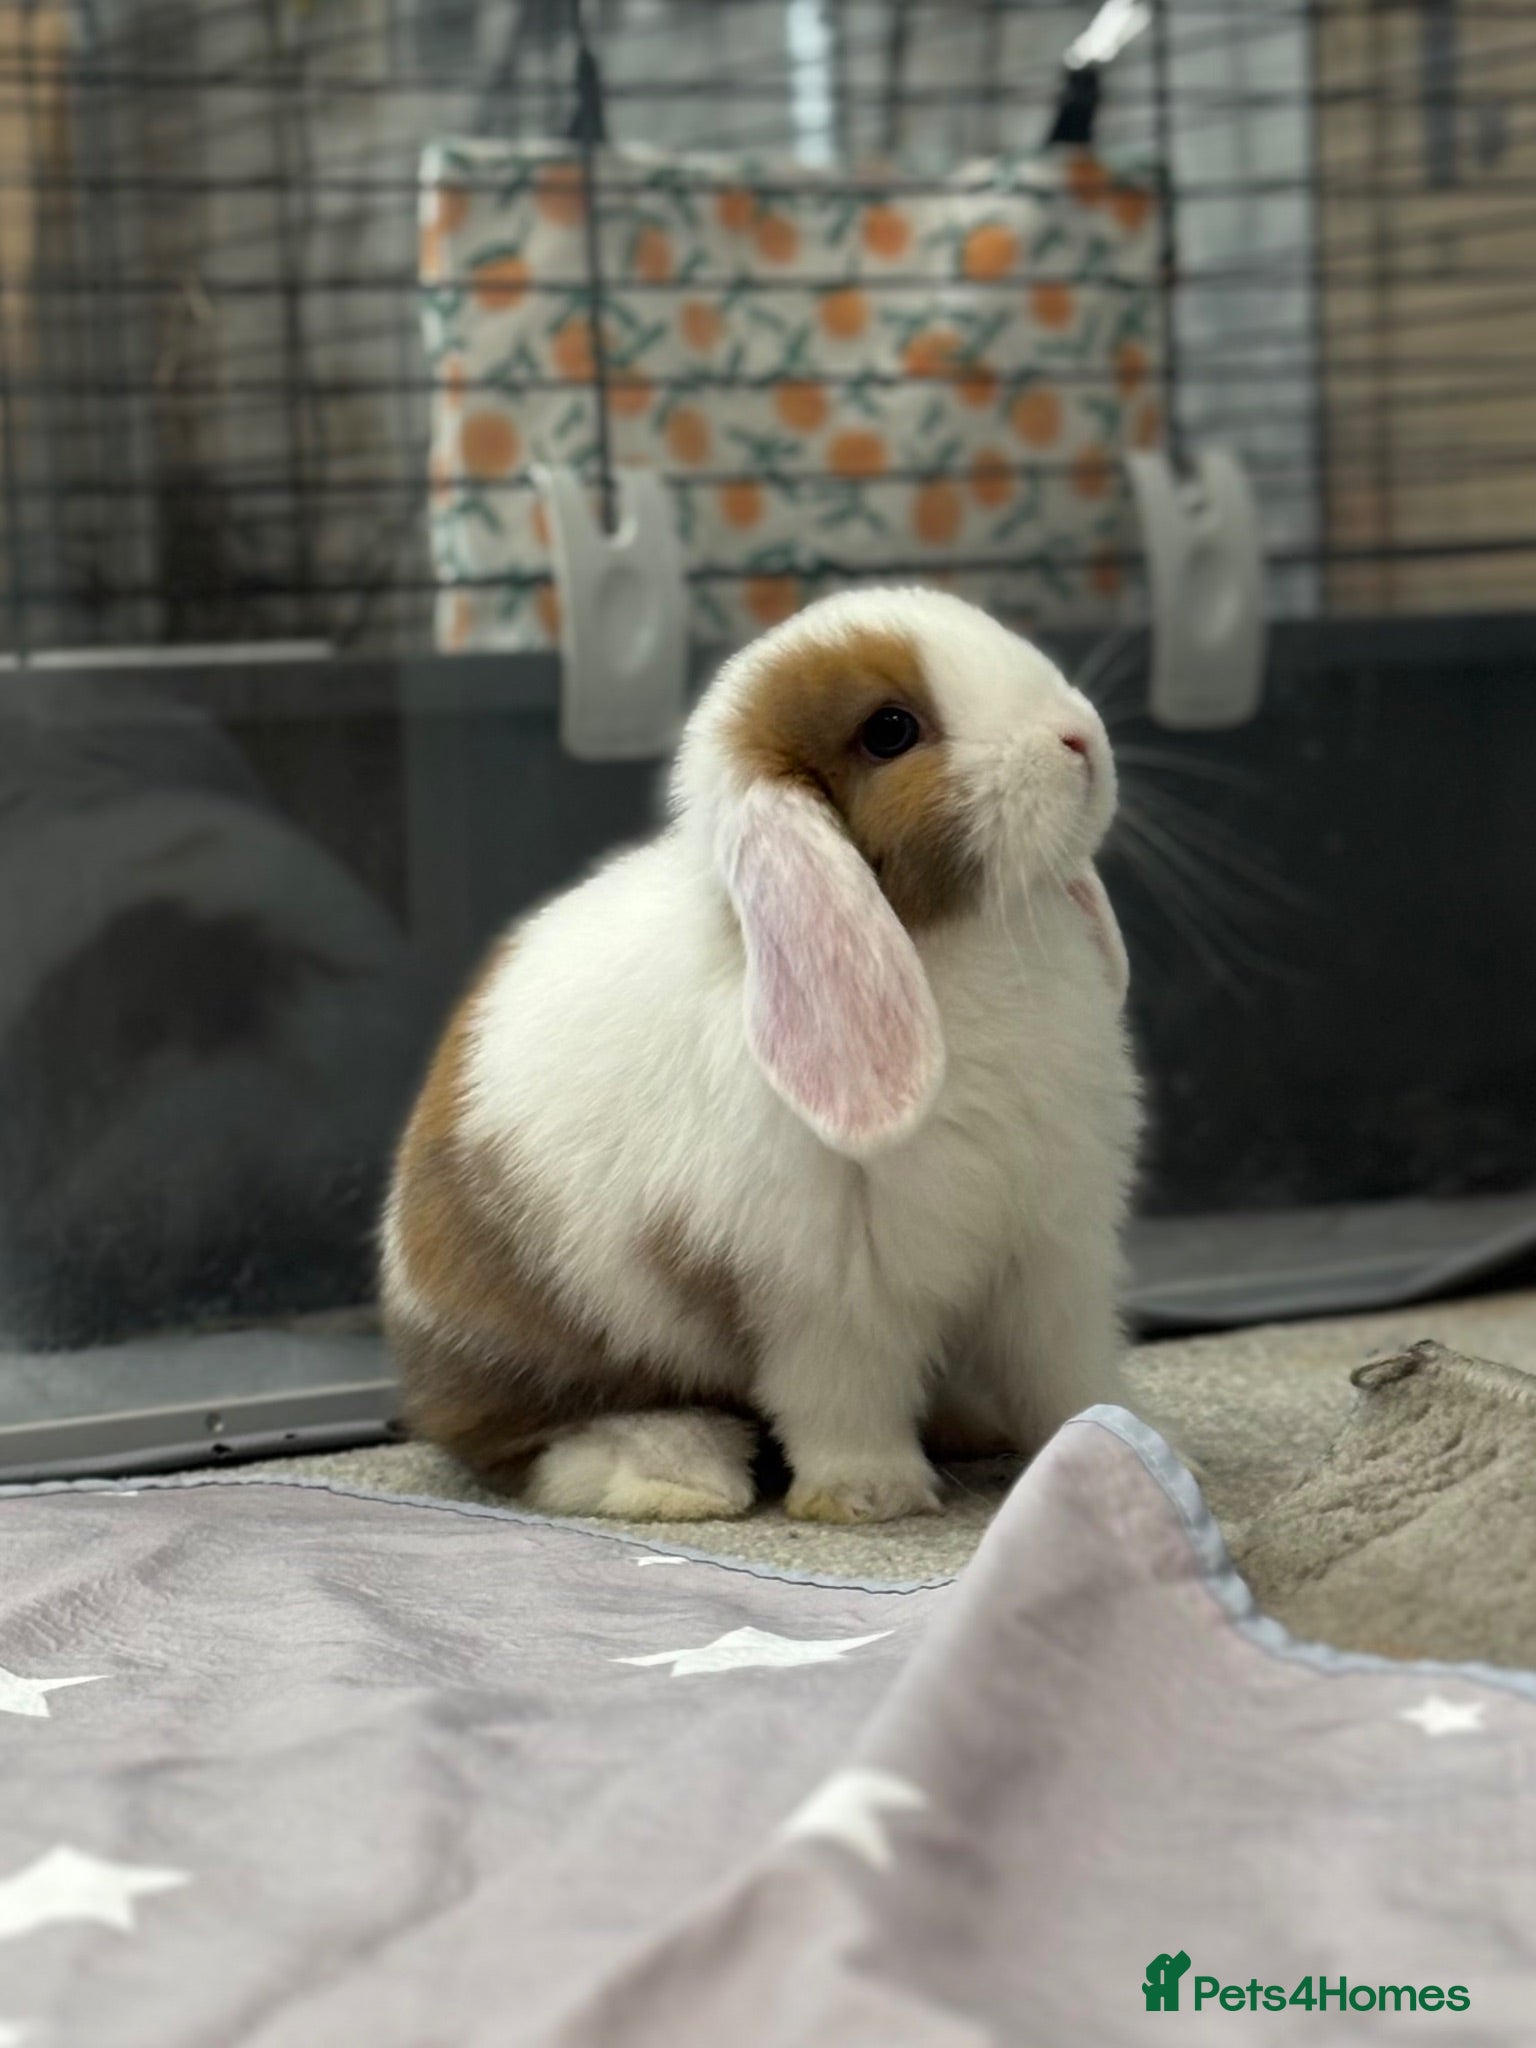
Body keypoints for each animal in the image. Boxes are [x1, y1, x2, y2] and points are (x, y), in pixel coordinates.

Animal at [381, 586, 1141, 1523]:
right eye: (891, 730)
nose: (1081, 739)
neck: (953, 940)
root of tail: (416, 1363)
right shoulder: (824, 1290)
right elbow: (843, 1395)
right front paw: (869, 1495)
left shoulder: (1051, 1249)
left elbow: (1064, 1368)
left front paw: (1119, 1440)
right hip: (541, 1352)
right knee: (527, 1452)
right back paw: (675, 1476)